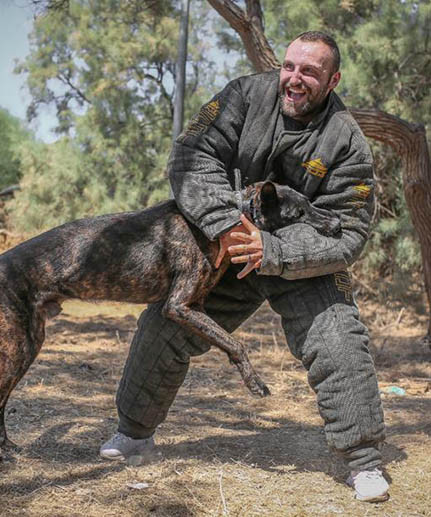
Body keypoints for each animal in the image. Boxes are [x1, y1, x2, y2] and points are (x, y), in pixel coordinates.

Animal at [0, 181, 340, 456]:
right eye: (298, 213)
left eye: (311, 203)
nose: (337, 223)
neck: (228, 221)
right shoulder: (178, 306)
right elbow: (236, 343)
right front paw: (255, 383)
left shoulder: (195, 307)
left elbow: (224, 339)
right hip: (17, 350)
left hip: (30, 344)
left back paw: (8, 448)